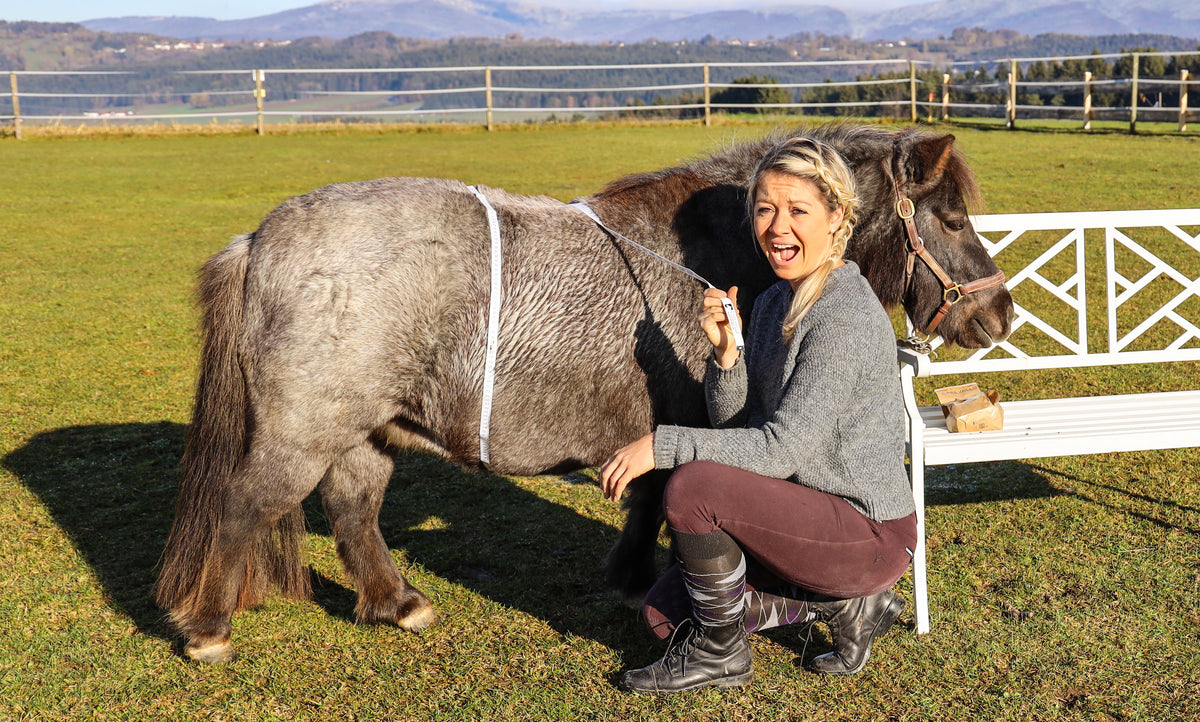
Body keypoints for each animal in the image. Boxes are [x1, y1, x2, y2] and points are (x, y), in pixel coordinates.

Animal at [155, 123, 1014, 663]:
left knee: (353, 510)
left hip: (365, 430)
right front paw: (636, 582)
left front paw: (630, 577)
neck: (712, 251)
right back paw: (208, 628)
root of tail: (261, 240)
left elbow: (649, 497)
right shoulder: (681, 417)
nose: (1000, 313)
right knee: (244, 505)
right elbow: (660, 496)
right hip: (303, 432)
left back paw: (397, 601)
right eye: (950, 215)